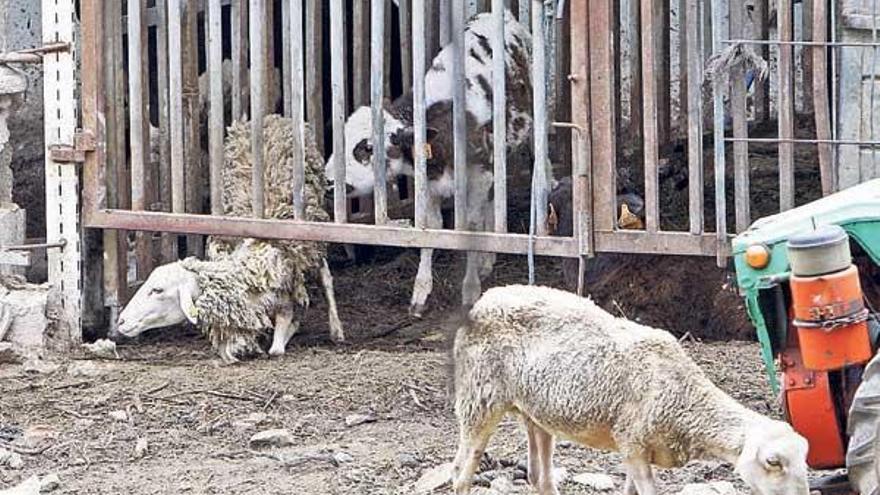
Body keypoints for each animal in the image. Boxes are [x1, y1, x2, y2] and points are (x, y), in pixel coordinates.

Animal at [118, 116, 346, 364]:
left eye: (157, 290)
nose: (120, 321)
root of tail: (272, 117)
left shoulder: (288, 290)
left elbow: (278, 345)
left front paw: (287, 332)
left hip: (313, 233)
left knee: (325, 275)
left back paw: (336, 330)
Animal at [328, 9, 536, 316]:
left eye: (367, 147)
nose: (330, 180)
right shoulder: (427, 182)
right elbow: (429, 229)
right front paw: (420, 293)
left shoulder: (481, 174)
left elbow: (470, 224)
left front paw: (470, 289)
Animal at [454, 286, 812, 495]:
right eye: (774, 463)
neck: (683, 396)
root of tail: (486, 298)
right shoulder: (633, 442)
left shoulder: (635, 447)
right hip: (478, 398)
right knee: (461, 472)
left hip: (537, 412)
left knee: (540, 479)